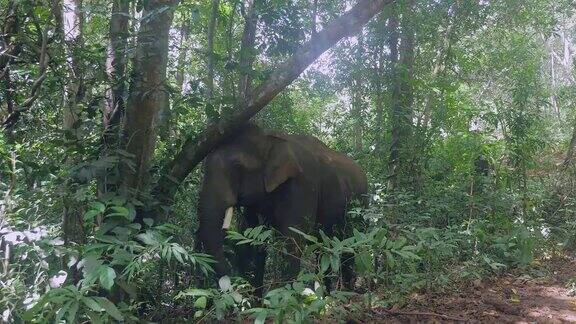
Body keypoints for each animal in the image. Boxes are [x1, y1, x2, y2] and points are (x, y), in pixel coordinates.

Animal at [197, 123, 368, 294]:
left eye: (237, 167)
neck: (271, 138)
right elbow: (255, 237)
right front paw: (258, 299)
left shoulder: (303, 184)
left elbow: (292, 237)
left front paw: (284, 296)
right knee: (324, 245)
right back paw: (327, 292)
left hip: (360, 204)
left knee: (349, 241)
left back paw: (348, 289)